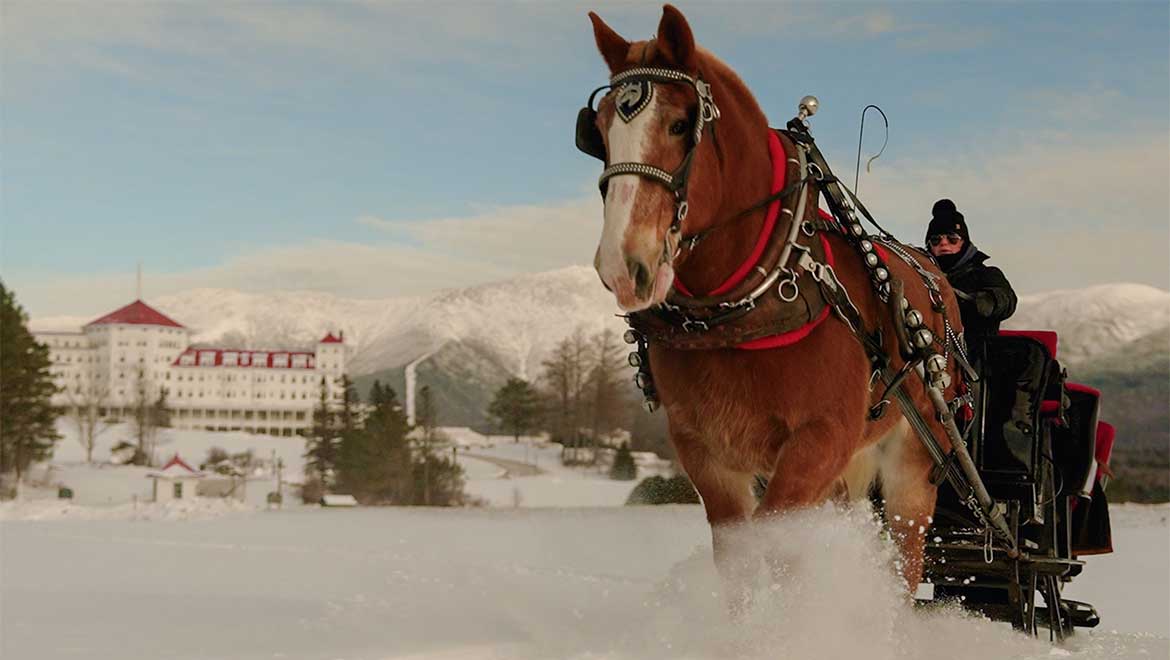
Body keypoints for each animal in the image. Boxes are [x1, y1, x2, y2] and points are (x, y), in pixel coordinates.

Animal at [580, 5, 965, 604]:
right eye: (597, 133)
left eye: (680, 124)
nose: (624, 265)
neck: (745, 303)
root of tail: (936, 277)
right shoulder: (704, 450)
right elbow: (740, 560)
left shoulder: (821, 438)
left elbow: (779, 546)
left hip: (916, 455)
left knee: (907, 554)